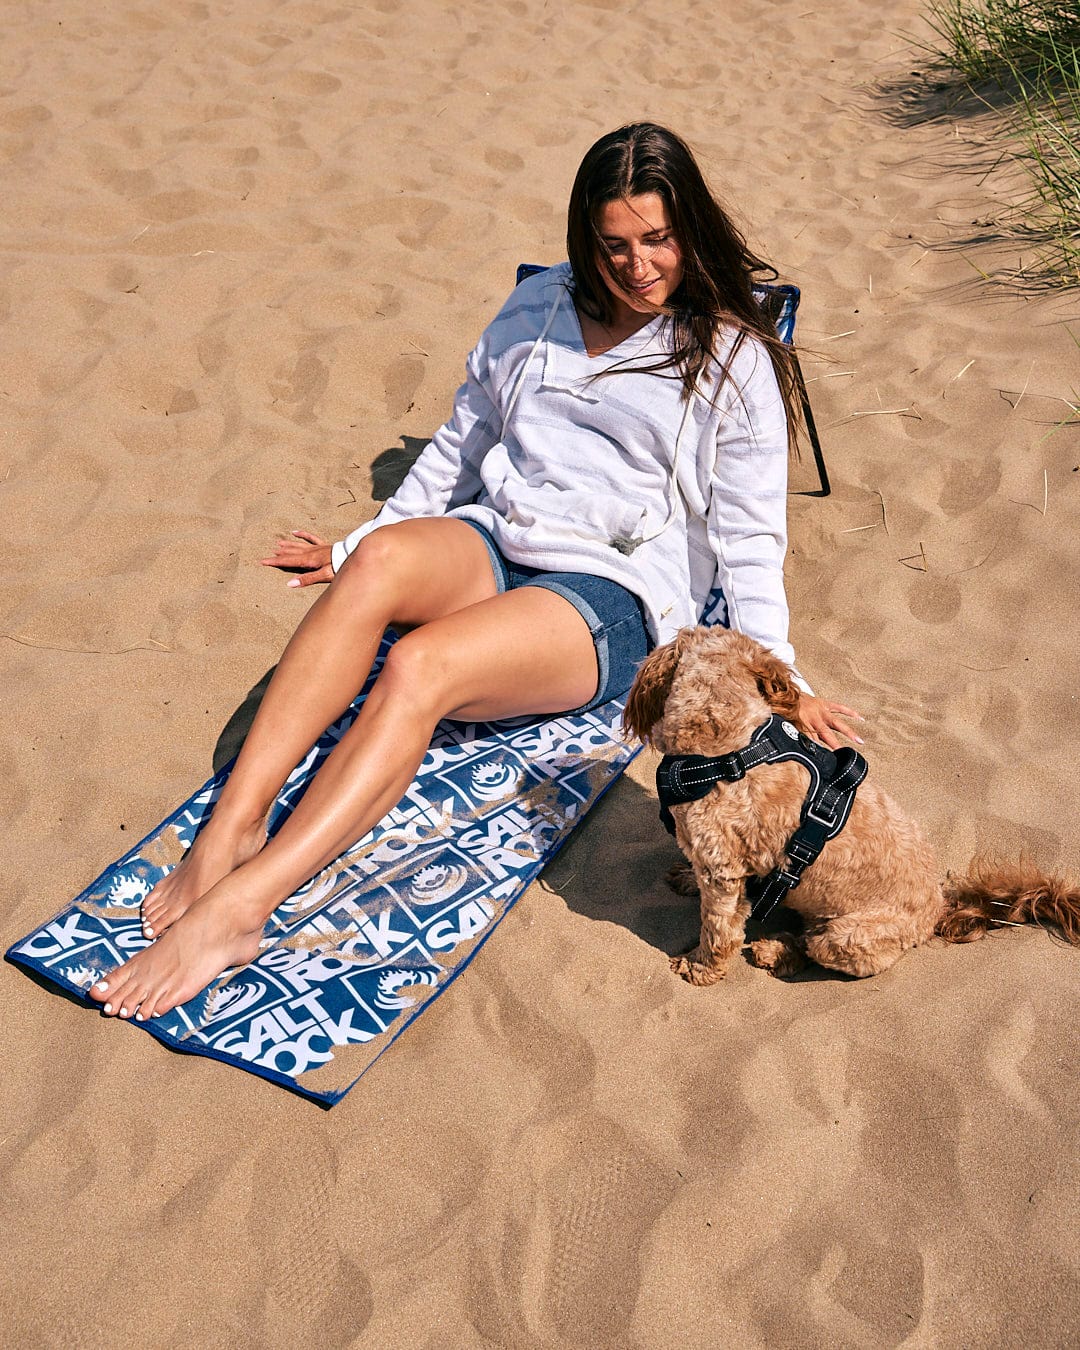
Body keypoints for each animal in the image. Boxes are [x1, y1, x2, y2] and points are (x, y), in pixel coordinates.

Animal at [623, 626, 1080, 988]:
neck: (731, 744)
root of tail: (937, 908)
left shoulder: (723, 873)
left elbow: (718, 932)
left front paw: (700, 968)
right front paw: (686, 877)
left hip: (844, 937)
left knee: (812, 946)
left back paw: (776, 952)